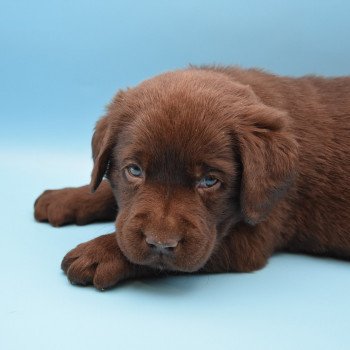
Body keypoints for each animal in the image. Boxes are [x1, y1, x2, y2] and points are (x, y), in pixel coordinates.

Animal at [34, 65, 350, 290]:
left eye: (209, 181)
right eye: (134, 170)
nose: (161, 244)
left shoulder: (256, 230)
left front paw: (98, 253)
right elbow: (106, 190)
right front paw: (65, 197)